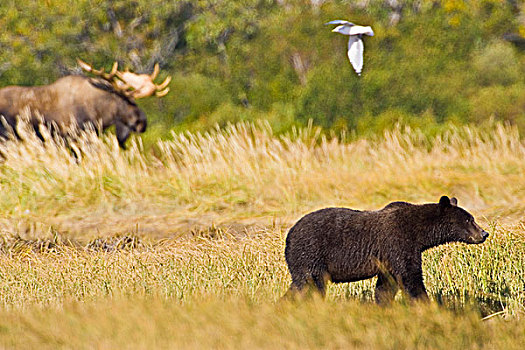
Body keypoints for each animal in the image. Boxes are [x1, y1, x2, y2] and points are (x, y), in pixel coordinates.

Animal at [284, 196, 490, 302]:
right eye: (469, 219)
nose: (484, 233)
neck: (420, 233)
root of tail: (290, 234)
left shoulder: (388, 259)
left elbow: (386, 285)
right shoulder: (398, 243)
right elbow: (410, 276)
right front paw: (425, 302)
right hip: (311, 254)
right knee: (310, 285)